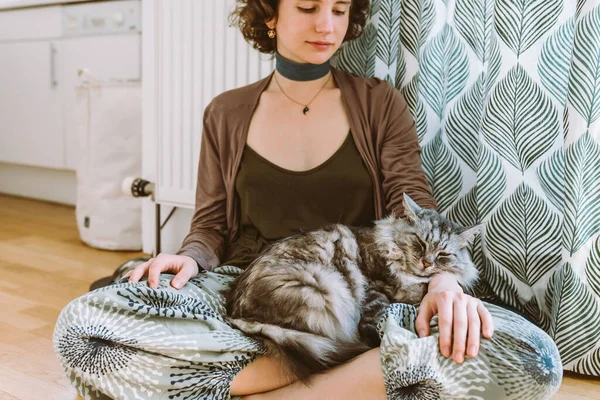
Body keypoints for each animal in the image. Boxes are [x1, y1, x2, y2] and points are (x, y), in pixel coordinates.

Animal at [223, 195, 480, 382]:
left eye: (443, 254)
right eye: (419, 243)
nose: (426, 263)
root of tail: (236, 314)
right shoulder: (374, 290)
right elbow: (377, 318)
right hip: (323, 289)